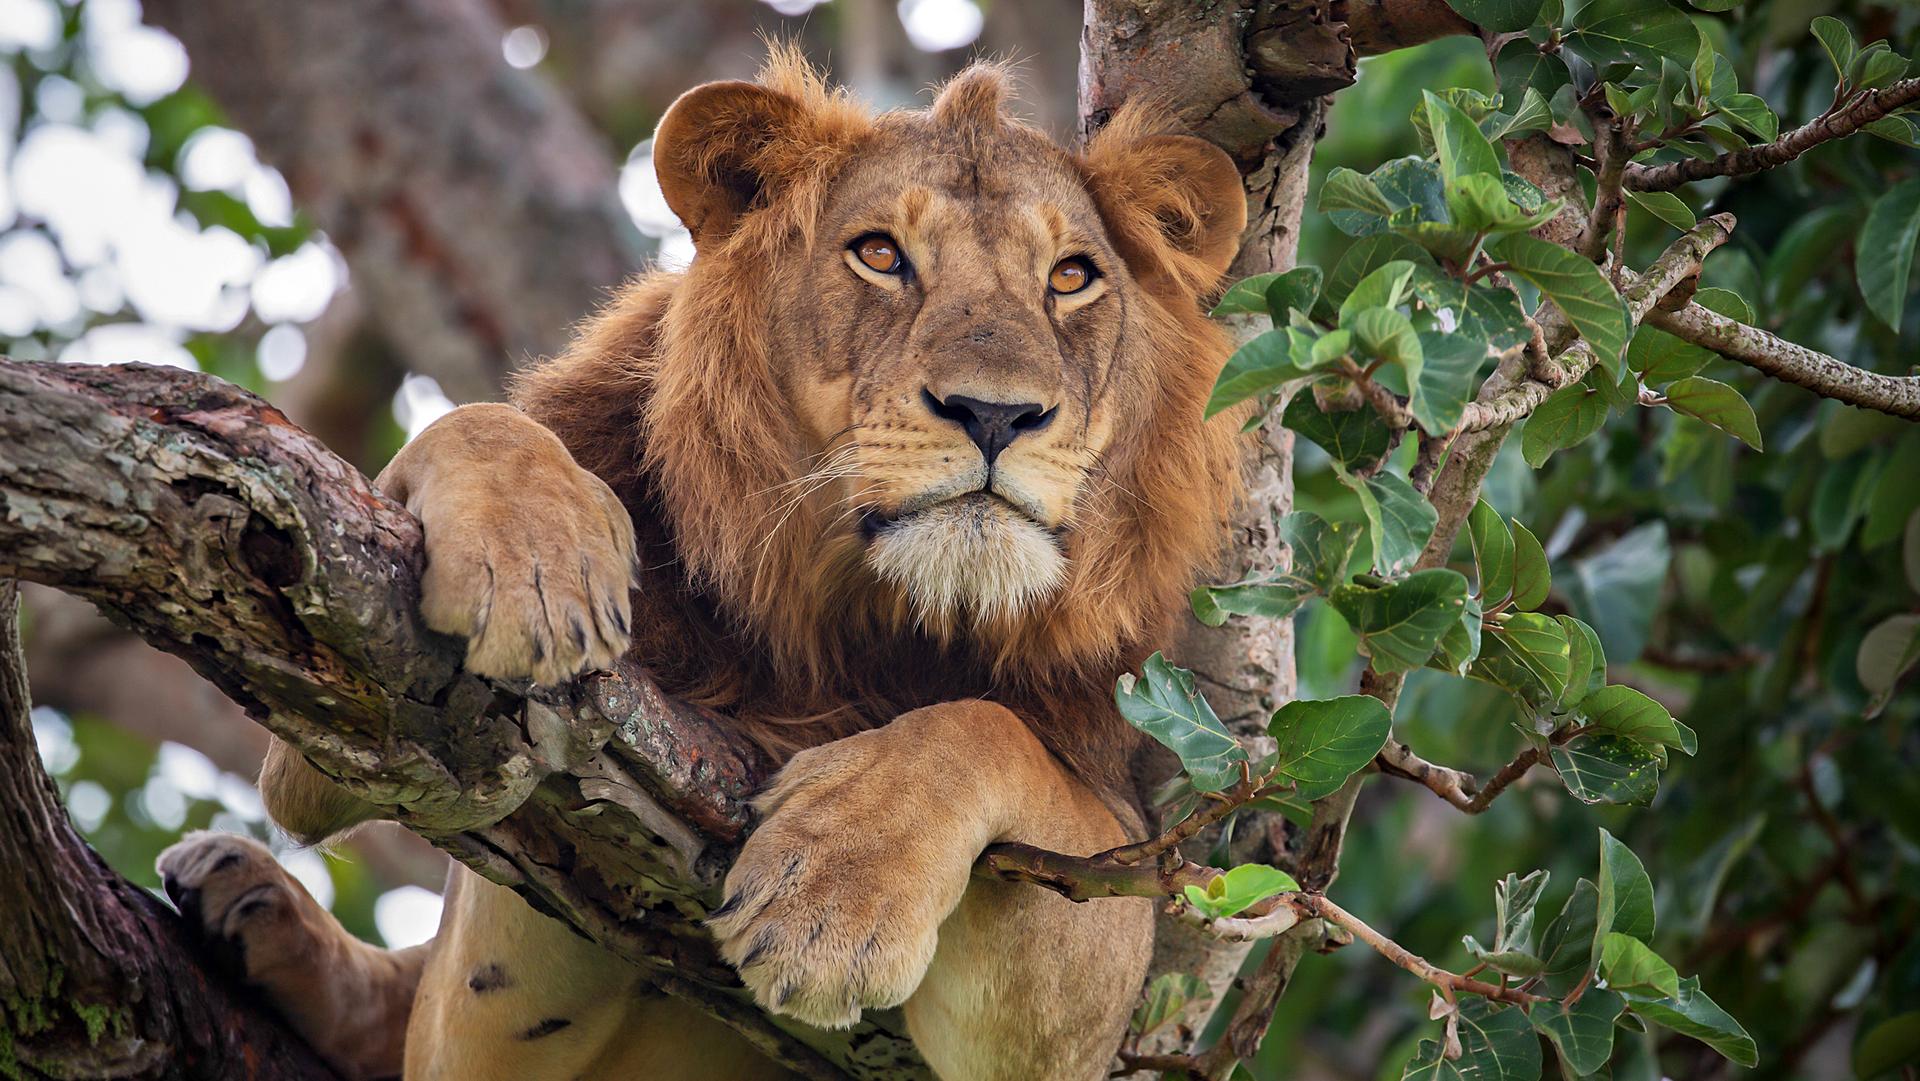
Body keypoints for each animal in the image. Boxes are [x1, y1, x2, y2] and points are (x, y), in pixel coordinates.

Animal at [156, 53, 1247, 1081]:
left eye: (1070, 276)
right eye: (880, 254)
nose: (995, 413)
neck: (850, 619)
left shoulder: (1094, 974)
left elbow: (984, 730)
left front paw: (833, 891)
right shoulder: (362, 706)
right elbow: (481, 423)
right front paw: (533, 569)